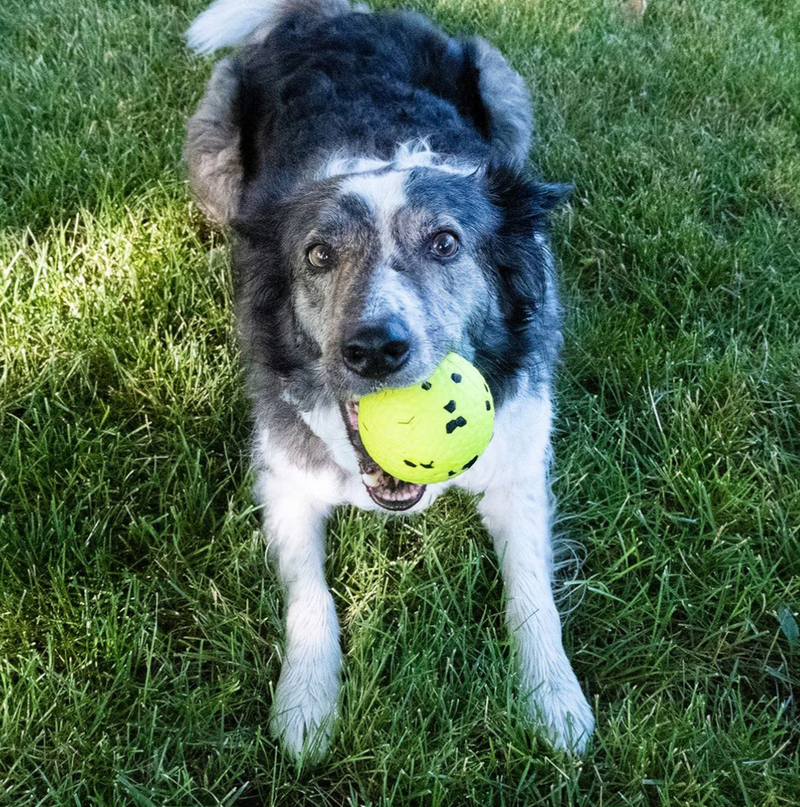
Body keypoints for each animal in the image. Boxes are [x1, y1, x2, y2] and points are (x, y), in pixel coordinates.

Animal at [184, 0, 592, 760]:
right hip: (210, 149)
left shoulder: (520, 462)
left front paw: (555, 699)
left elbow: (533, 593)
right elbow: (309, 599)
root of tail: (329, 13)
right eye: (318, 254)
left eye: (446, 243)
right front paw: (306, 706)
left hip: (503, 90)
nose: (375, 349)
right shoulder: (284, 480)